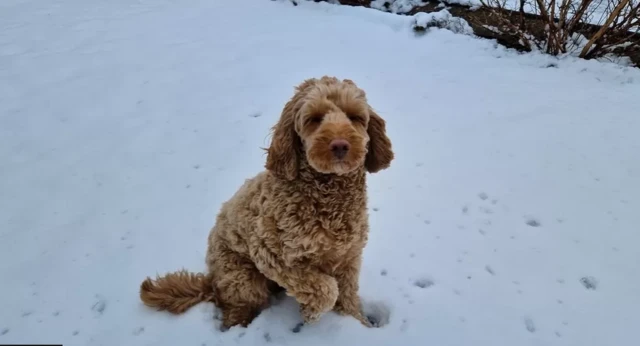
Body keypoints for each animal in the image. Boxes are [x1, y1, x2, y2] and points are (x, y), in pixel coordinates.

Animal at [138, 75, 392, 330]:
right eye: (314, 119)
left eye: (354, 117)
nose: (340, 145)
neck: (328, 196)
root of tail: (212, 280)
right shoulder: (271, 254)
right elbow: (326, 289)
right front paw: (311, 312)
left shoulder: (349, 257)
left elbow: (346, 294)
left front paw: (356, 322)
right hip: (242, 277)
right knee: (236, 308)